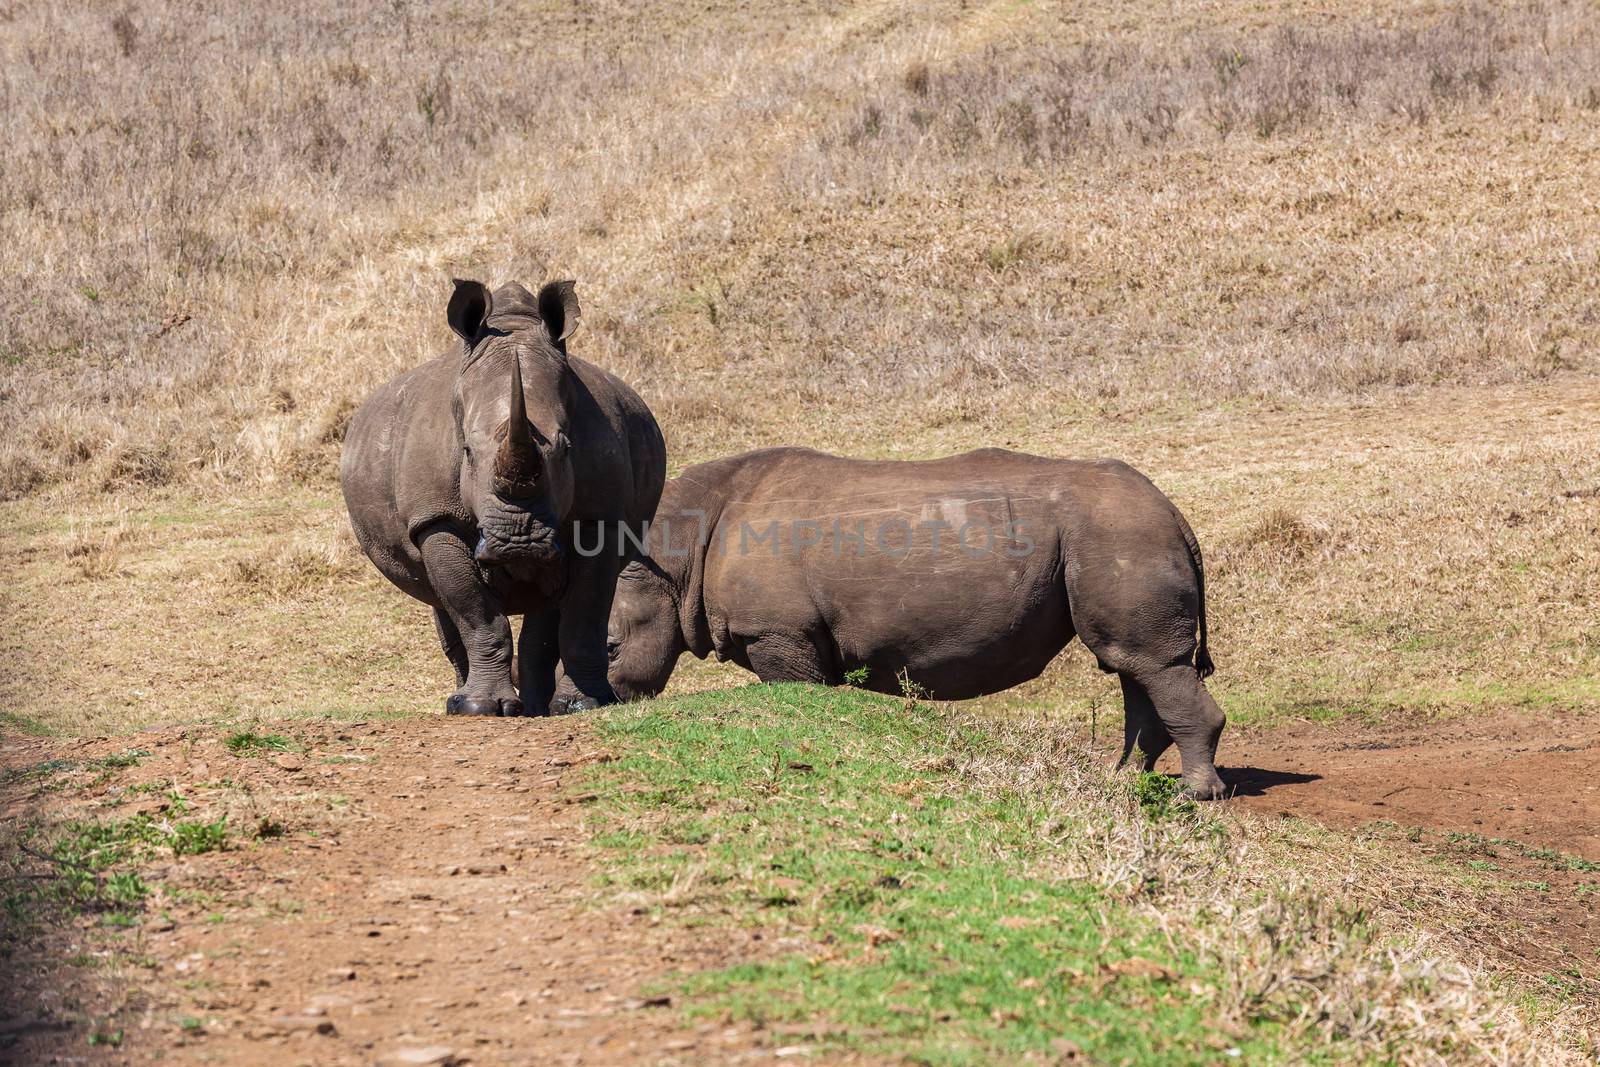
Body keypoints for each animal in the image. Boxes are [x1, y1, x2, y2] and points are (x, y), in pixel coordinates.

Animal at [340, 279, 665, 716]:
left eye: (567, 449)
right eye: (466, 452)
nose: (518, 541)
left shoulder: (601, 518)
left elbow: (584, 614)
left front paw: (586, 704)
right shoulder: (435, 518)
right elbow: (475, 612)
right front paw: (480, 708)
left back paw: (536, 708)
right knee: (441, 602)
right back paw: (462, 703)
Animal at [601, 447, 1222, 796]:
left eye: (609, 648)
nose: (584, 705)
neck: (675, 552)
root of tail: (1173, 511)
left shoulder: (778, 634)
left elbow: (794, 695)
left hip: (1120, 534)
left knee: (1146, 663)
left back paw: (1195, 796)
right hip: (1116, 535)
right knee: (1133, 666)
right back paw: (1124, 781)